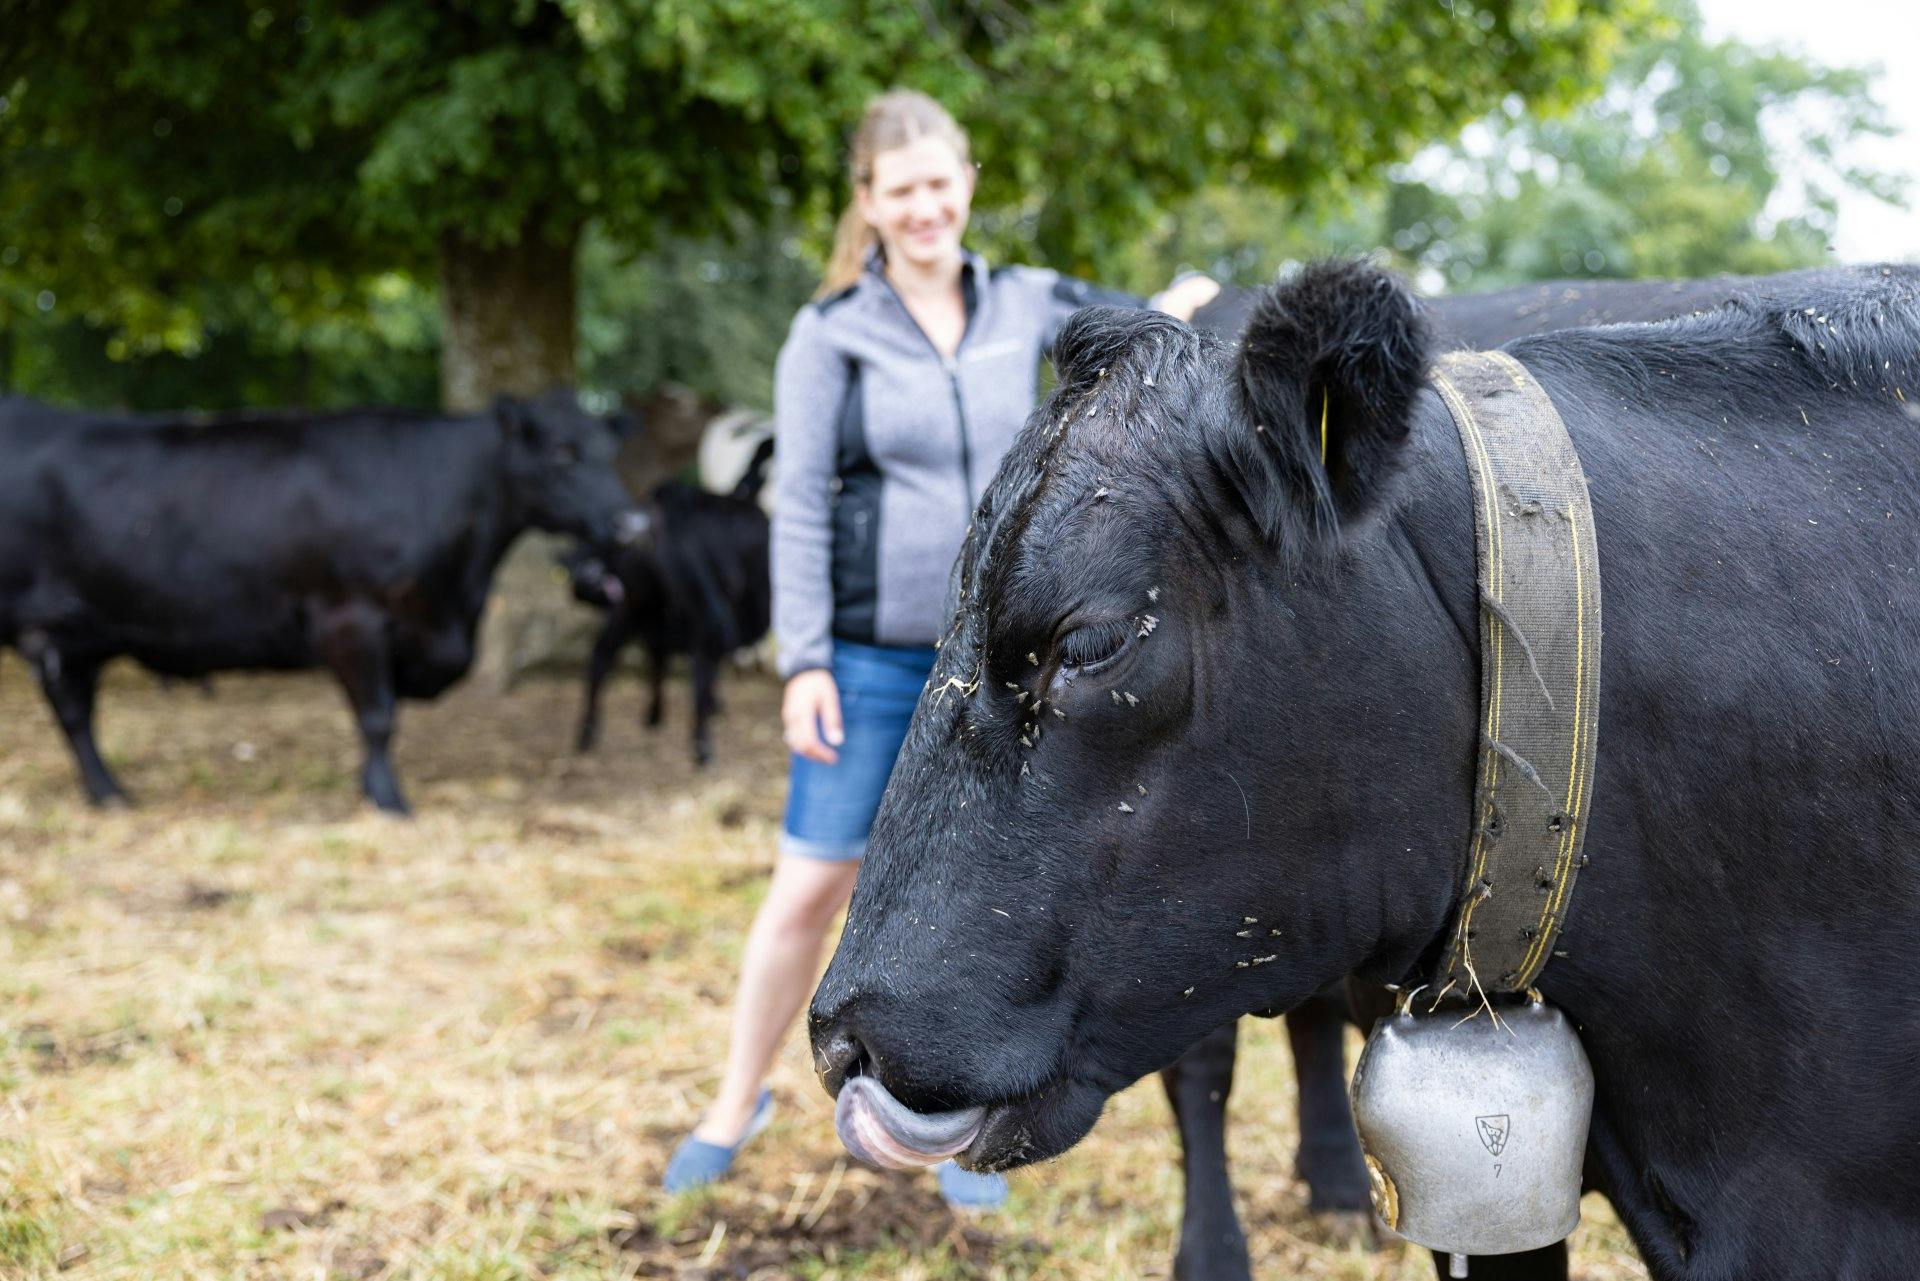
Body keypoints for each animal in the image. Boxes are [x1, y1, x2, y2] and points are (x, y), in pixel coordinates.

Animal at [0, 391, 642, 813]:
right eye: (561, 452)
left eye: (609, 452)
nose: (632, 522)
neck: (459, 596)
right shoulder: (351, 618)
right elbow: (378, 717)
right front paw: (387, 799)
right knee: (74, 713)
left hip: (73, 632)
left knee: (75, 715)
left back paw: (106, 793)